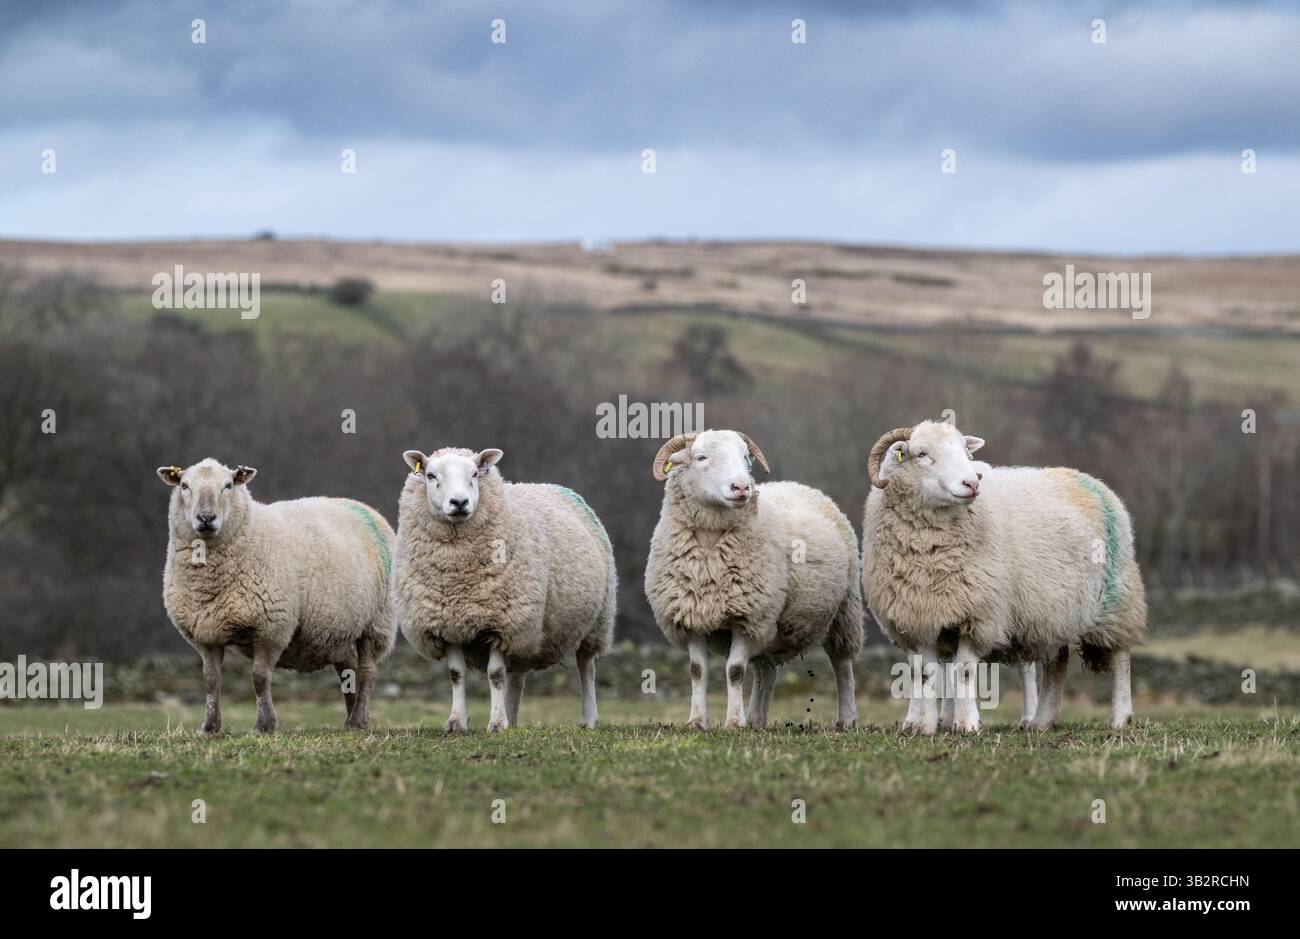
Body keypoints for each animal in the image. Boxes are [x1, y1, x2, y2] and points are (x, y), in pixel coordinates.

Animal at [157, 458, 396, 734]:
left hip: (377, 623)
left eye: (228, 485)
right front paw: (210, 727)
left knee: (367, 673)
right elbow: (210, 680)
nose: (206, 518)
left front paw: (265, 725)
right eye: (184, 485)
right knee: (349, 670)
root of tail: (365, 507)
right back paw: (350, 719)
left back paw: (358, 721)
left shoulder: (271, 626)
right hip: (340, 629)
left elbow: (260, 677)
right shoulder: (205, 632)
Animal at [392, 447, 616, 732]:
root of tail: (549, 485)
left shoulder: (501, 621)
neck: (457, 577)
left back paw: (588, 719)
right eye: (431, 475)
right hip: (525, 631)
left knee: (586, 667)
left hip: (595, 623)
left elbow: (495, 675)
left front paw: (497, 723)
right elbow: (456, 675)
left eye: (475, 474)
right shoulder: (447, 624)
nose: (459, 502)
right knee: (517, 674)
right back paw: (513, 718)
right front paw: (457, 721)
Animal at [644, 429, 864, 730]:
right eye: (701, 457)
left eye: (745, 456)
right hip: (772, 627)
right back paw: (757, 719)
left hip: (844, 611)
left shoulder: (748, 615)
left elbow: (735, 671)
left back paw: (846, 719)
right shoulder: (692, 617)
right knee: (765, 670)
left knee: (842, 665)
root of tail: (799, 485)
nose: (741, 488)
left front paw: (734, 723)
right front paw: (697, 722)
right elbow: (697, 671)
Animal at [861, 420, 1146, 735]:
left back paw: (1120, 718)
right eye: (921, 454)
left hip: (1117, 601)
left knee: (1120, 657)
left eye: (966, 452)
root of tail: (1089, 478)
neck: (930, 554)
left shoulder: (979, 615)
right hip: (1053, 611)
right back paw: (1042, 722)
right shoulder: (919, 616)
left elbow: (962, 670)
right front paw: (924, 726)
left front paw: (966, 724)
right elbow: (923, 672)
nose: (972, 484)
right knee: (1057, 662)